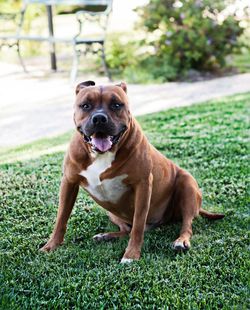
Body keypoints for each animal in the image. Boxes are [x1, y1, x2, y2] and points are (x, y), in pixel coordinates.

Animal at [40, 80, 224, 262]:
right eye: (85, 105)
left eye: (116, 105)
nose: (99, 118)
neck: (102, 154)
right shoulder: (68, 182)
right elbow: (61, 217)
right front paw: (51, 246)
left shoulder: (143, 185)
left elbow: (138, 225)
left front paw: (131, 255)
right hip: (111, 211)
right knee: (126, 229)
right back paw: (106, 236)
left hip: (187, 186)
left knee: (186, 224)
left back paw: (181, 241)